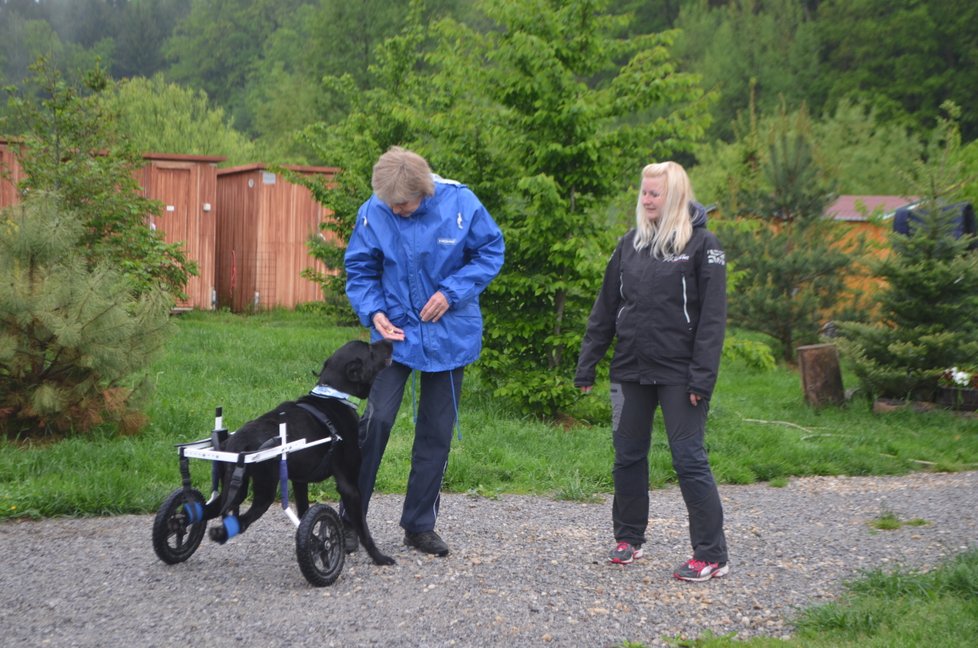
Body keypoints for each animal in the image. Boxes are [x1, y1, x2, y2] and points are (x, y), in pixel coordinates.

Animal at [205, 340, 392, 568]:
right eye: (370, 350)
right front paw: (379, 557)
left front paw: (314, 543)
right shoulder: (349, 486)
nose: (390, 341)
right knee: (242, 521)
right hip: (264, 490)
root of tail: (239, 442)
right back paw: (222, 533)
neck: (334, 396)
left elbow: (304, 514)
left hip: (233, 486)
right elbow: (363, 529)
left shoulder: (300, 481)